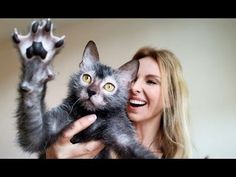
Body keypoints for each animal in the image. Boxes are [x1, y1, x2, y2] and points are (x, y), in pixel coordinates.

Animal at [12, 19, 157, 159]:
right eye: (87, 78)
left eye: (109, 86)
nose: (91, 91)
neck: (90, 114)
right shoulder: (42, 133)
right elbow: (33, 131)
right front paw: (36, 64)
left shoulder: (121, 134)